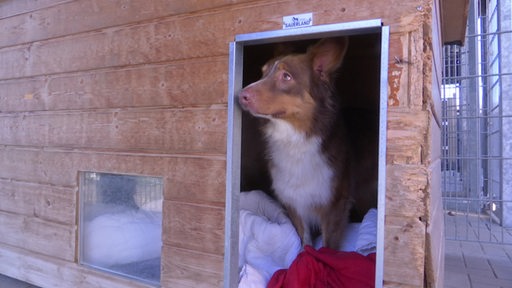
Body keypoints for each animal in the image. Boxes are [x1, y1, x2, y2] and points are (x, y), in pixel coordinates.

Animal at [237, 37, 376, 250]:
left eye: (286, 76)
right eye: (263, 72)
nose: (240, 95)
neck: (295, 139)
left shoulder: (334, 205)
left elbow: (327, 248)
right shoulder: (293, 201)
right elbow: (305, 242)